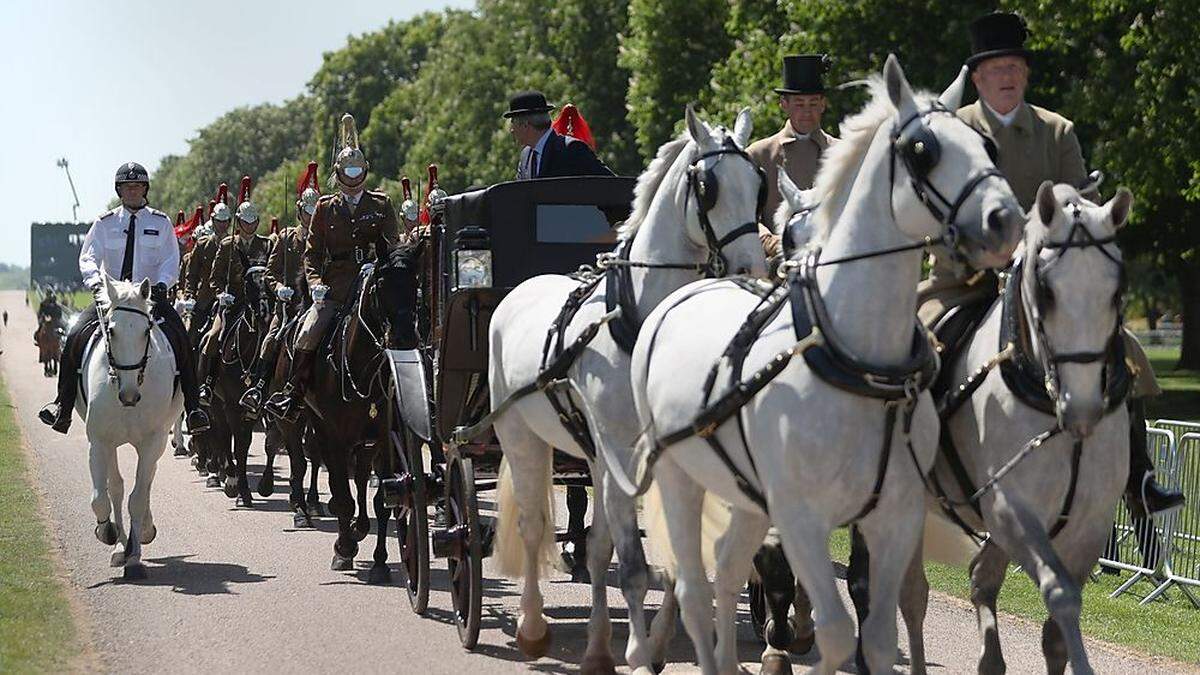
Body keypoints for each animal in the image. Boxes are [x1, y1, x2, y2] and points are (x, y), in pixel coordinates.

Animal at [81, 275, 182, 578]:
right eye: (111, 331)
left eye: (146, 331)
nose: (129, 395)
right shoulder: (99, 442)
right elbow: (100, 497)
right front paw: (108, 533)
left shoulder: (152, 441)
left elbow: (138, 497)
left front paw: (135, 557)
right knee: (116, 486)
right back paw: (118, 546)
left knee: (145, 483)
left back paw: (142, 534)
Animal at [489, 103, 763, 667]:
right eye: (708, 187)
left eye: (758, 183)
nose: (752, 268)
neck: (639, 324)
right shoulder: (620, 449)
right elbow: (634, 567)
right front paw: (637, 650)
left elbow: (671, 558)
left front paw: (654, 643)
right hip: (521, 435)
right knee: (532, 526)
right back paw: (532, 626)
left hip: (595, 458)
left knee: (596, 546)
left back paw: (596, 646)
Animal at [628, 55, 1022, 667]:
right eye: (923, 150)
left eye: (987, 145)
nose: (1006, 219)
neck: (857, 358)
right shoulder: (799, 516)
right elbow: (830, 623)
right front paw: (784, 647)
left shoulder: (892, 516)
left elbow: (876, 628)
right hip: (678, 477)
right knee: (692, 587)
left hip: (741, 492)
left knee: (725, 573)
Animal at [902, 180, 1128, 672]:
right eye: (1046, 290)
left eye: (1118, 292)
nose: (1082, 409)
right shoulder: (1010, 510)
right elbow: (1060, 595)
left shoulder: (1091, 524)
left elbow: (1055, 634)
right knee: (908, 595)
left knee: (978, 580)